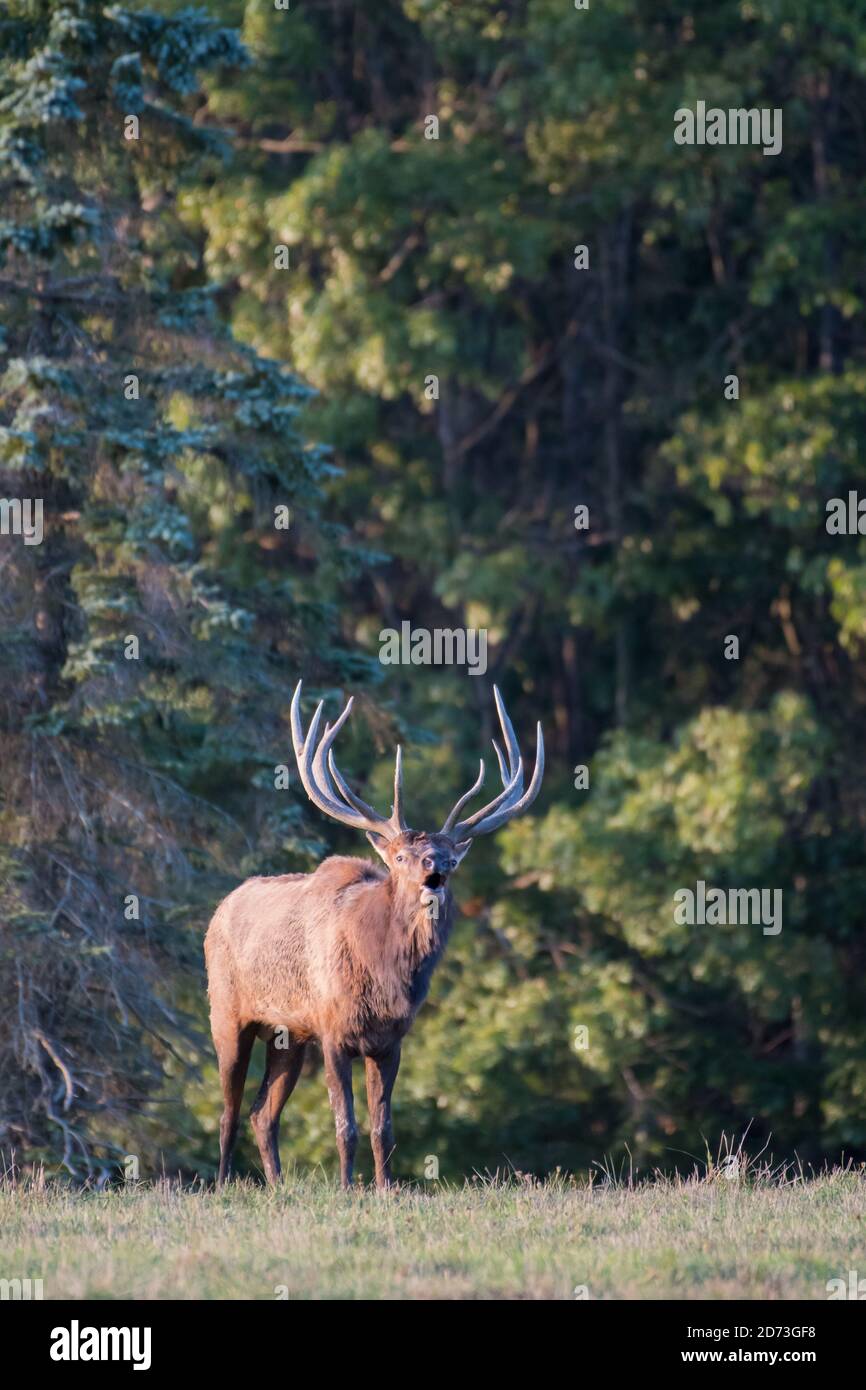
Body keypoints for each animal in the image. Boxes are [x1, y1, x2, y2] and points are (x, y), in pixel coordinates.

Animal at [204, 678, 544, 1189]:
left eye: (452, 857)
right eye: (402, 856)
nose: (435, 869)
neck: (384, 976)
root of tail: (219, 909)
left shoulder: (390, 1041)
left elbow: (384, 1128)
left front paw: (386, 1189)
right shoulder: (332, 1030)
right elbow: (345, 1125)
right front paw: (347, 1187)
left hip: (288, 1034)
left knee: (263, 1113)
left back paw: (277, 1185)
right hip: (227, 1013)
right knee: (228, 1111)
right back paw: (224, 1182)